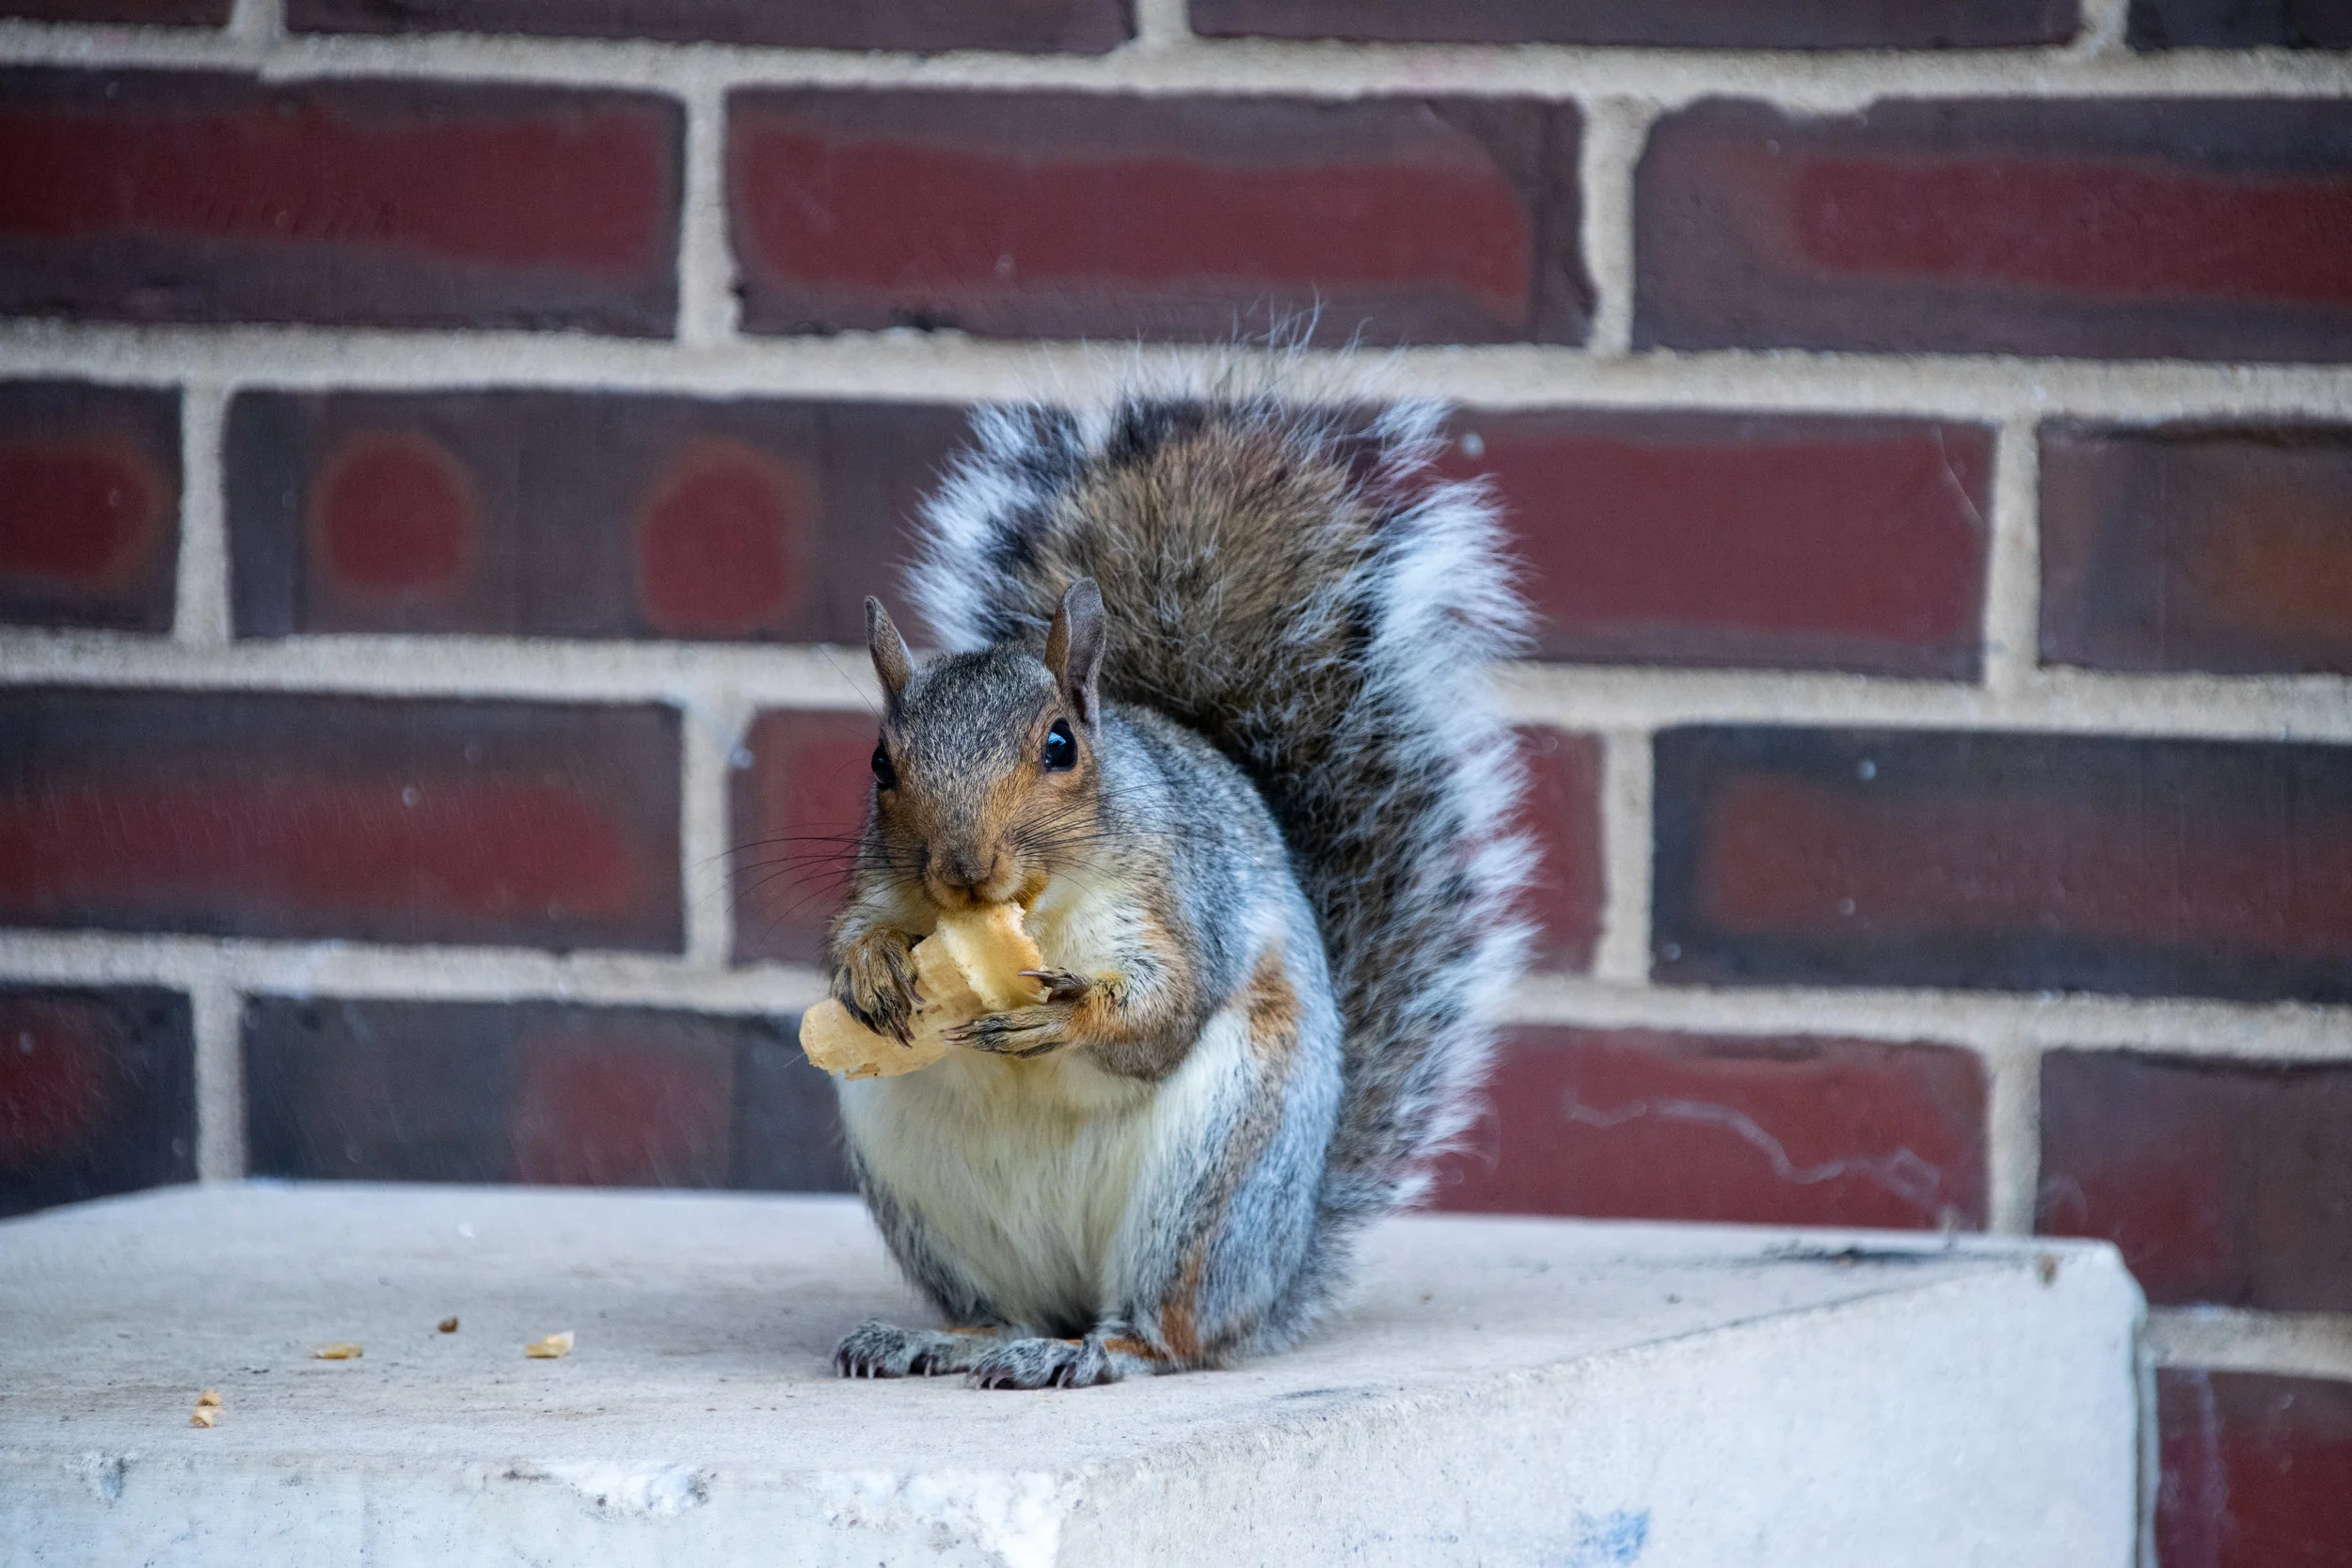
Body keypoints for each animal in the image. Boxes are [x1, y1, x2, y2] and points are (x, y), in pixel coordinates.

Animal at [826, 390, 1533, 1389]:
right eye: (881, 763)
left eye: (1060, 744)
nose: (963, 869)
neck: (1037, 906)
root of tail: (1274, 1283)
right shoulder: (879, 883)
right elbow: (854, 932)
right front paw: (871, 968)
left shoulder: (1179, 897)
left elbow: (1168, 1010)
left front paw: (1066, 1016)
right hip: (930, 1196)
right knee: (1002, 1309)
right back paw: (946, 1338)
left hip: (1213, 1184)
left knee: (1171, 1330)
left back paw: (1094, 1351)